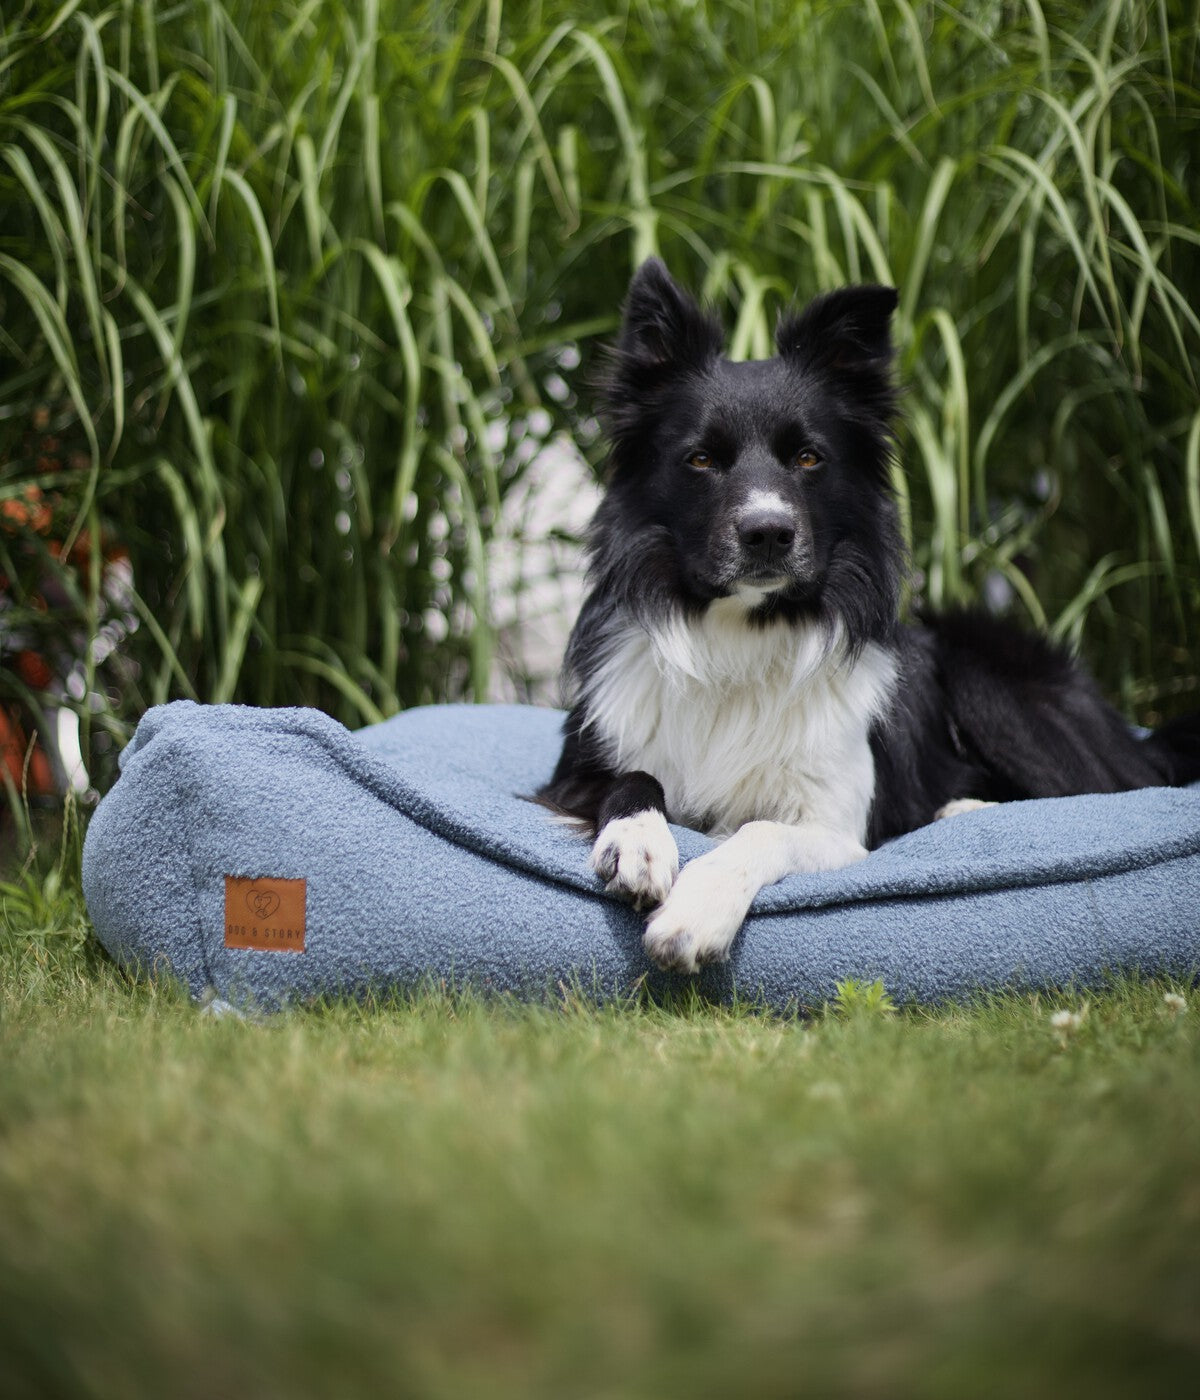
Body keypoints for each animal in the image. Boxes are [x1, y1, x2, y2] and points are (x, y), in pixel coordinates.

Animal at [534, 254, 1198, 974]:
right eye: (701, 459)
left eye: (808, 457)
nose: (768, 533)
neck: (744, 630)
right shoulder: (575, 771)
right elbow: (634, 776)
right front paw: (639, 842)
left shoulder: (838, 827)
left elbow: (761, 830)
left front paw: (695, 914)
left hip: (987, 676)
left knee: (1105, 789)